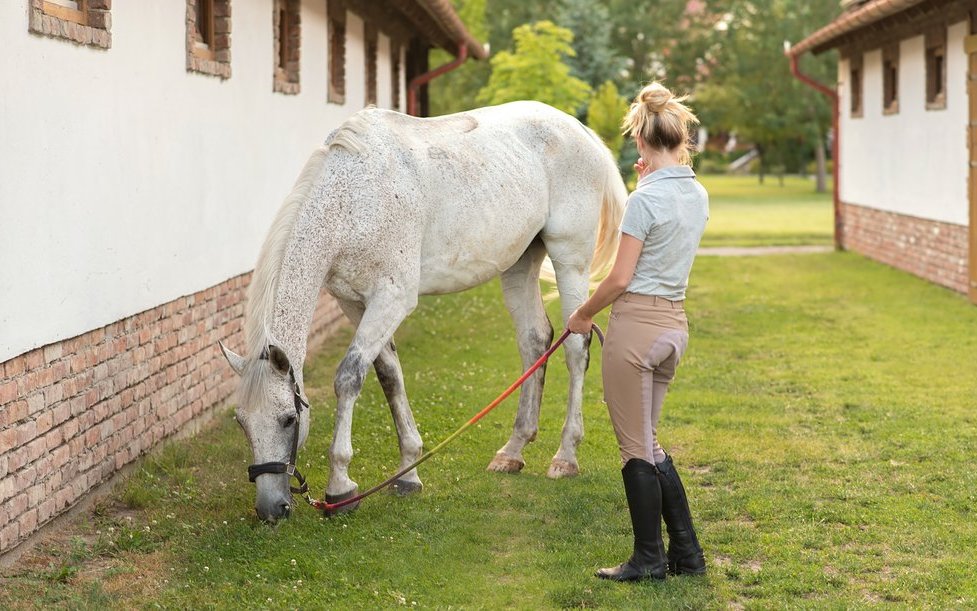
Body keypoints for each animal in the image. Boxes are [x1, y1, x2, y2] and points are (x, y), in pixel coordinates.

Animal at [219, 101, 624, 520]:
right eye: (243, 423)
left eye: (288, 419)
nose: (271, 508)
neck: (354, 197)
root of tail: (580, 131)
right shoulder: (356, 303)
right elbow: (388, 375)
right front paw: (408, 473)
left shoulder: (391, 299)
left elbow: (349, 378)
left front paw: (341, 486)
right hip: (519, 263)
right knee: (535, 340)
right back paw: (512, 451)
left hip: (570, 260)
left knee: (575, 347)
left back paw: (565, 456)